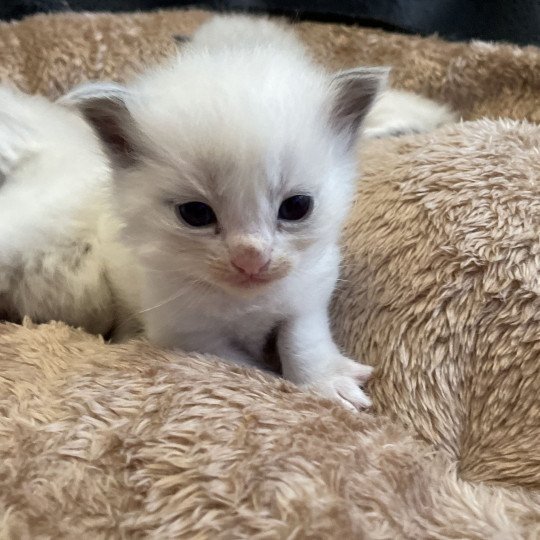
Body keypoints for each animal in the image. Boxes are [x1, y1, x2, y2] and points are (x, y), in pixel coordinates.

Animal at [61, 13, 452, 410]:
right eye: (196, 214)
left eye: (296, 207)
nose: (250, 258)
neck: (245, 301)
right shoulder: (187, 335)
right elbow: (244, 369)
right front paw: (279, 386)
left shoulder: (308, 294)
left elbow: (301, 340)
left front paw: (325, 381)